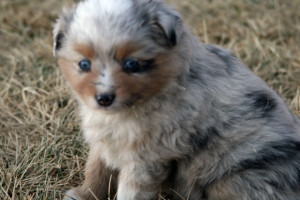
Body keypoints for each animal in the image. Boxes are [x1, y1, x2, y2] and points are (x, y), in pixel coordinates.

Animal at [53, 0, 300, 200]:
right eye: (84, 64)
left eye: (132, 64)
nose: (104, 99)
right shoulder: (104, 140)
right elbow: (96, 171)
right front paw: (83, 194)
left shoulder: (147, 157)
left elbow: (129, 191)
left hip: (239, 177)